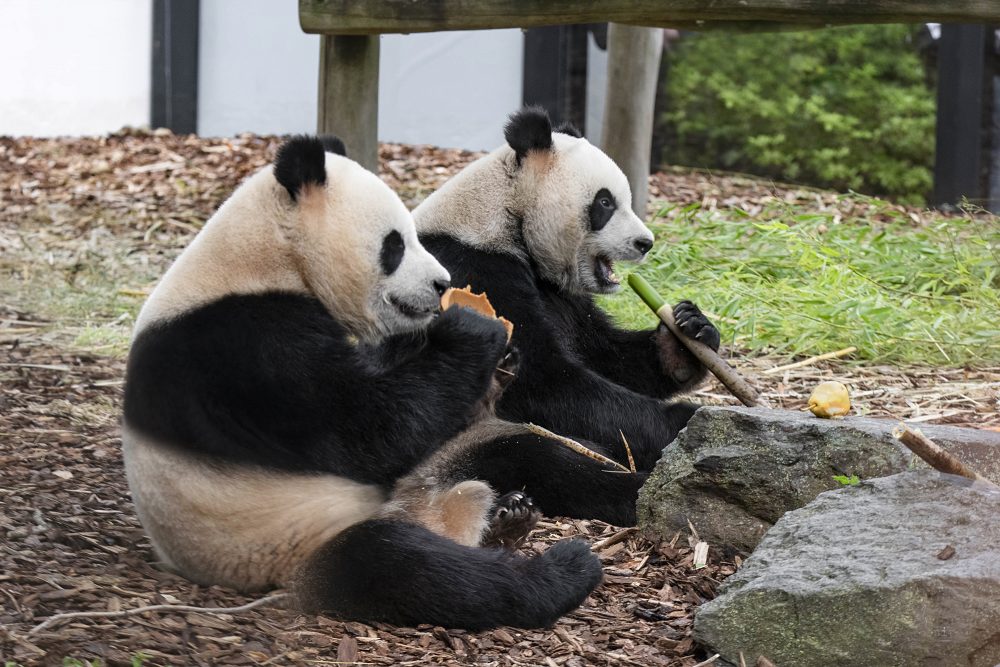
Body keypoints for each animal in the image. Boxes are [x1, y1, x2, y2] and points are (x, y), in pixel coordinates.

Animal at [120, 134, 616, 632]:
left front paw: (501, 362)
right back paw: (562, 570)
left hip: (440, 466)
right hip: (297, 539)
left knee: (521, 454)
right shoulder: (246, 348)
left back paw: (509, 517)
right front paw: (472, 329)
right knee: (411, 567)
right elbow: (367, 428)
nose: (442, 283)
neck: (265, 258)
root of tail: (429, 515)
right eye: (395, 244)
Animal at [410, 109, 724, 472]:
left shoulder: (566, 299)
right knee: (542, 456)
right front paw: (685, 421)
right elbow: (541, 381)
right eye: (605, 202)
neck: (504, 217)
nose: (645, 243)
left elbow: (606, 355)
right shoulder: (475, 273)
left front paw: (687, 336)